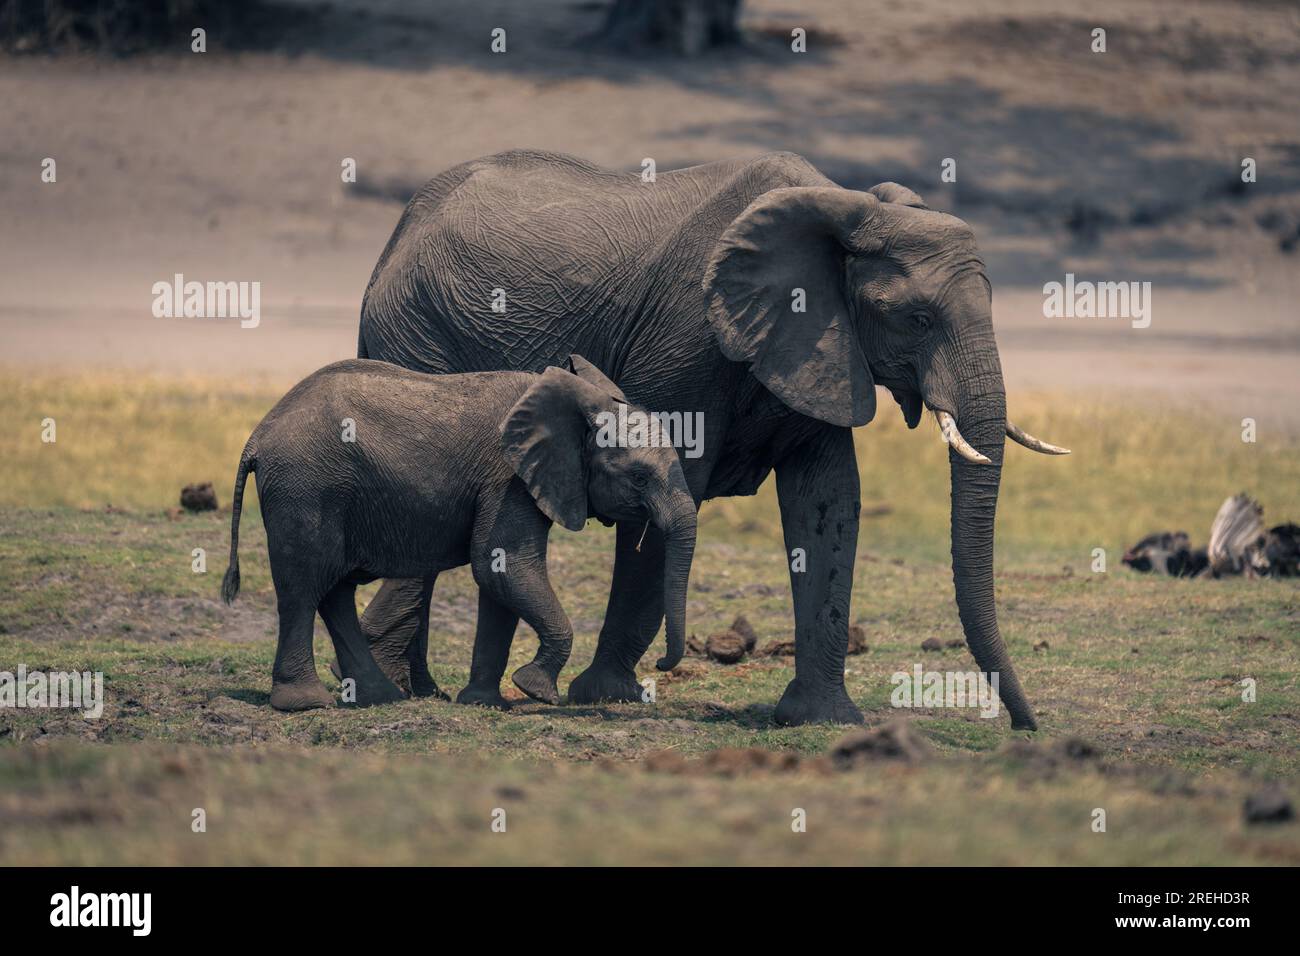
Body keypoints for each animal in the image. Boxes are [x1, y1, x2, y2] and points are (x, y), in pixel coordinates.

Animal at [220, 355, 698, 711]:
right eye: (639, 478)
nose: (662, 664)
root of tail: (257, 436)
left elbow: (500, 578)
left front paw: (484, 703)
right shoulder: (507, 479)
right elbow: (502, 567)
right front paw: (535, 690)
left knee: (333, 589)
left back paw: (380, 698)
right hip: (306, 487)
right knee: (304, 586)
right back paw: (305, 703)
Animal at [354, 149, 1069, 730]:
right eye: (916, 319)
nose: (1024, 726)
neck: (845, 209)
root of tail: (403, 224)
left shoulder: (819, 345)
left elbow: (829, 502)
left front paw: (822, 719)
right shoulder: (687, 341)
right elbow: (679, 484)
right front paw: (607, 696)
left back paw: (419, 688)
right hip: (413, 330)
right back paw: (395, 687)